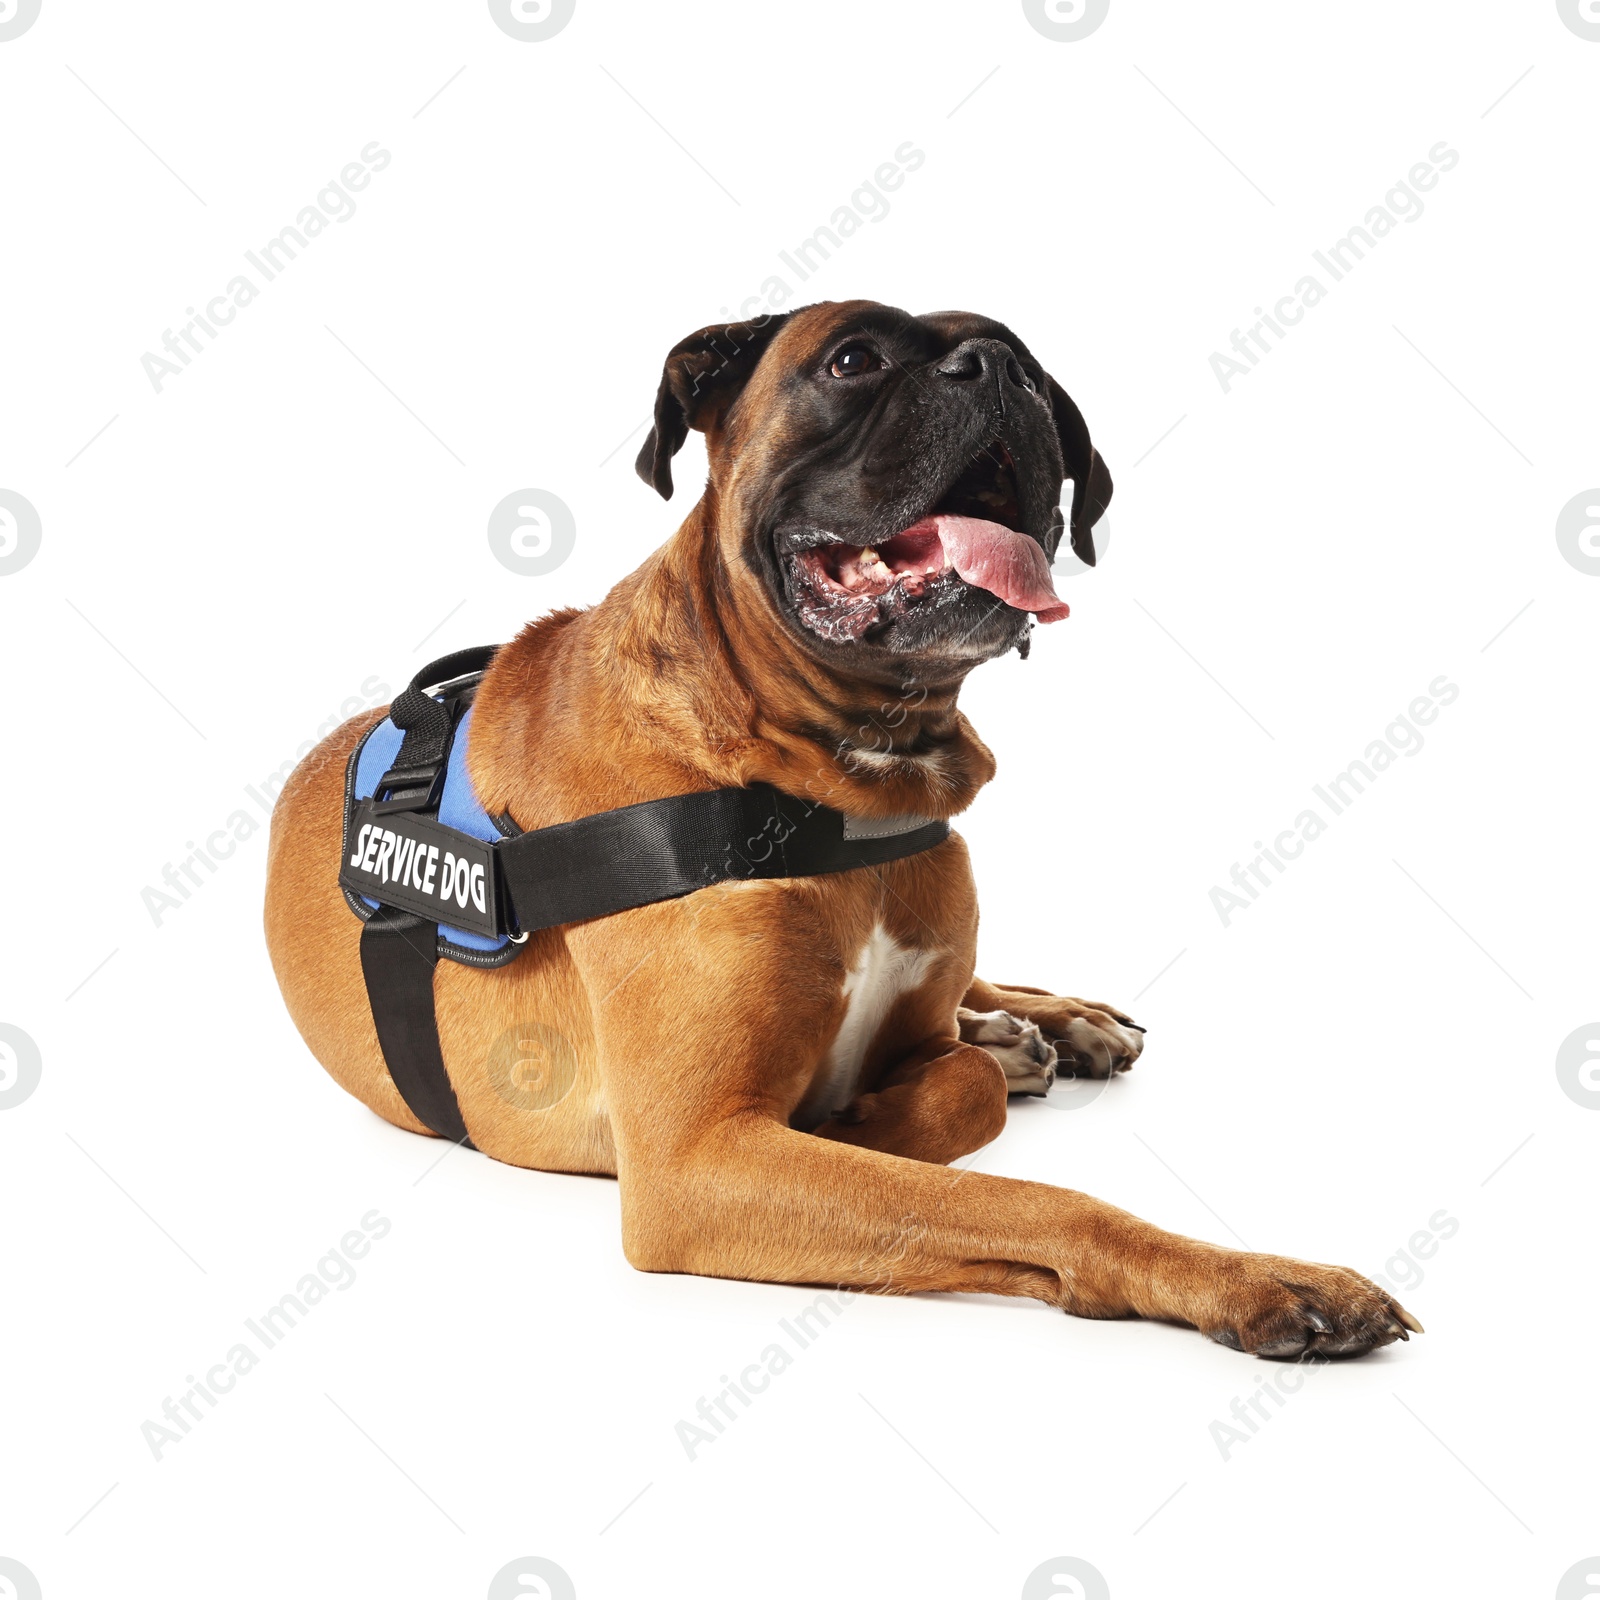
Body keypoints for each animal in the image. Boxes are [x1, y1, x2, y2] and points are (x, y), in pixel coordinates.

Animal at [265, 294, 1427, 1356]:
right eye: (852, 359)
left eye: (1036, 373)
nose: (996, 369)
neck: (846, 781)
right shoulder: (695, 1162)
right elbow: (1021, 1187)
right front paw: (1256, 1276)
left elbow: (957, 1081)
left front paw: (944, 1075)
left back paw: (1058, 1021)